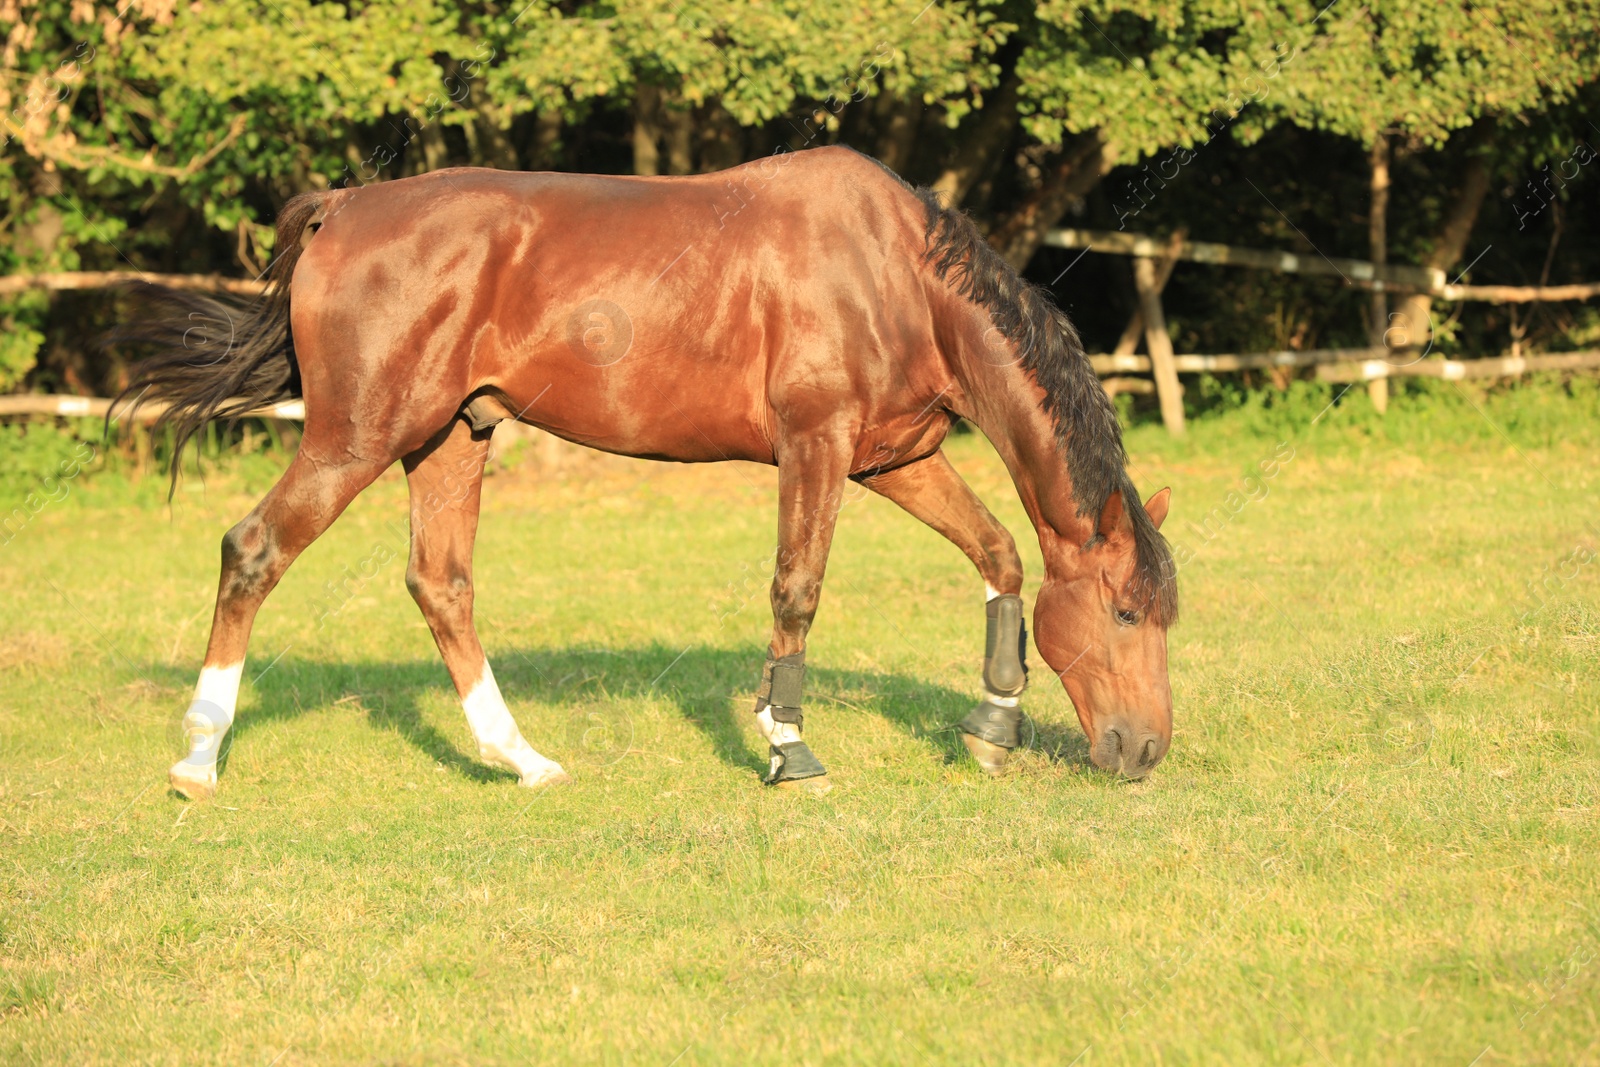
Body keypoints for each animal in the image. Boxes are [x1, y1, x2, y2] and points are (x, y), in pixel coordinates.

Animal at [118, 147, 1177, 799]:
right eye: (1126, 611)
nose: (1146, 751)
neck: (898, 273)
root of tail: (343, 209)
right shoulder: (816, 447)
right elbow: (798, 590)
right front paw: (790, 750)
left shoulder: (896, 458)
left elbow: (1000, 555)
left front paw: (992, 727)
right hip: (356, 438)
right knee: (254, 549)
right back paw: (199, 756)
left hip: (451, 438)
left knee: (441, 584)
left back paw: (523, 759)